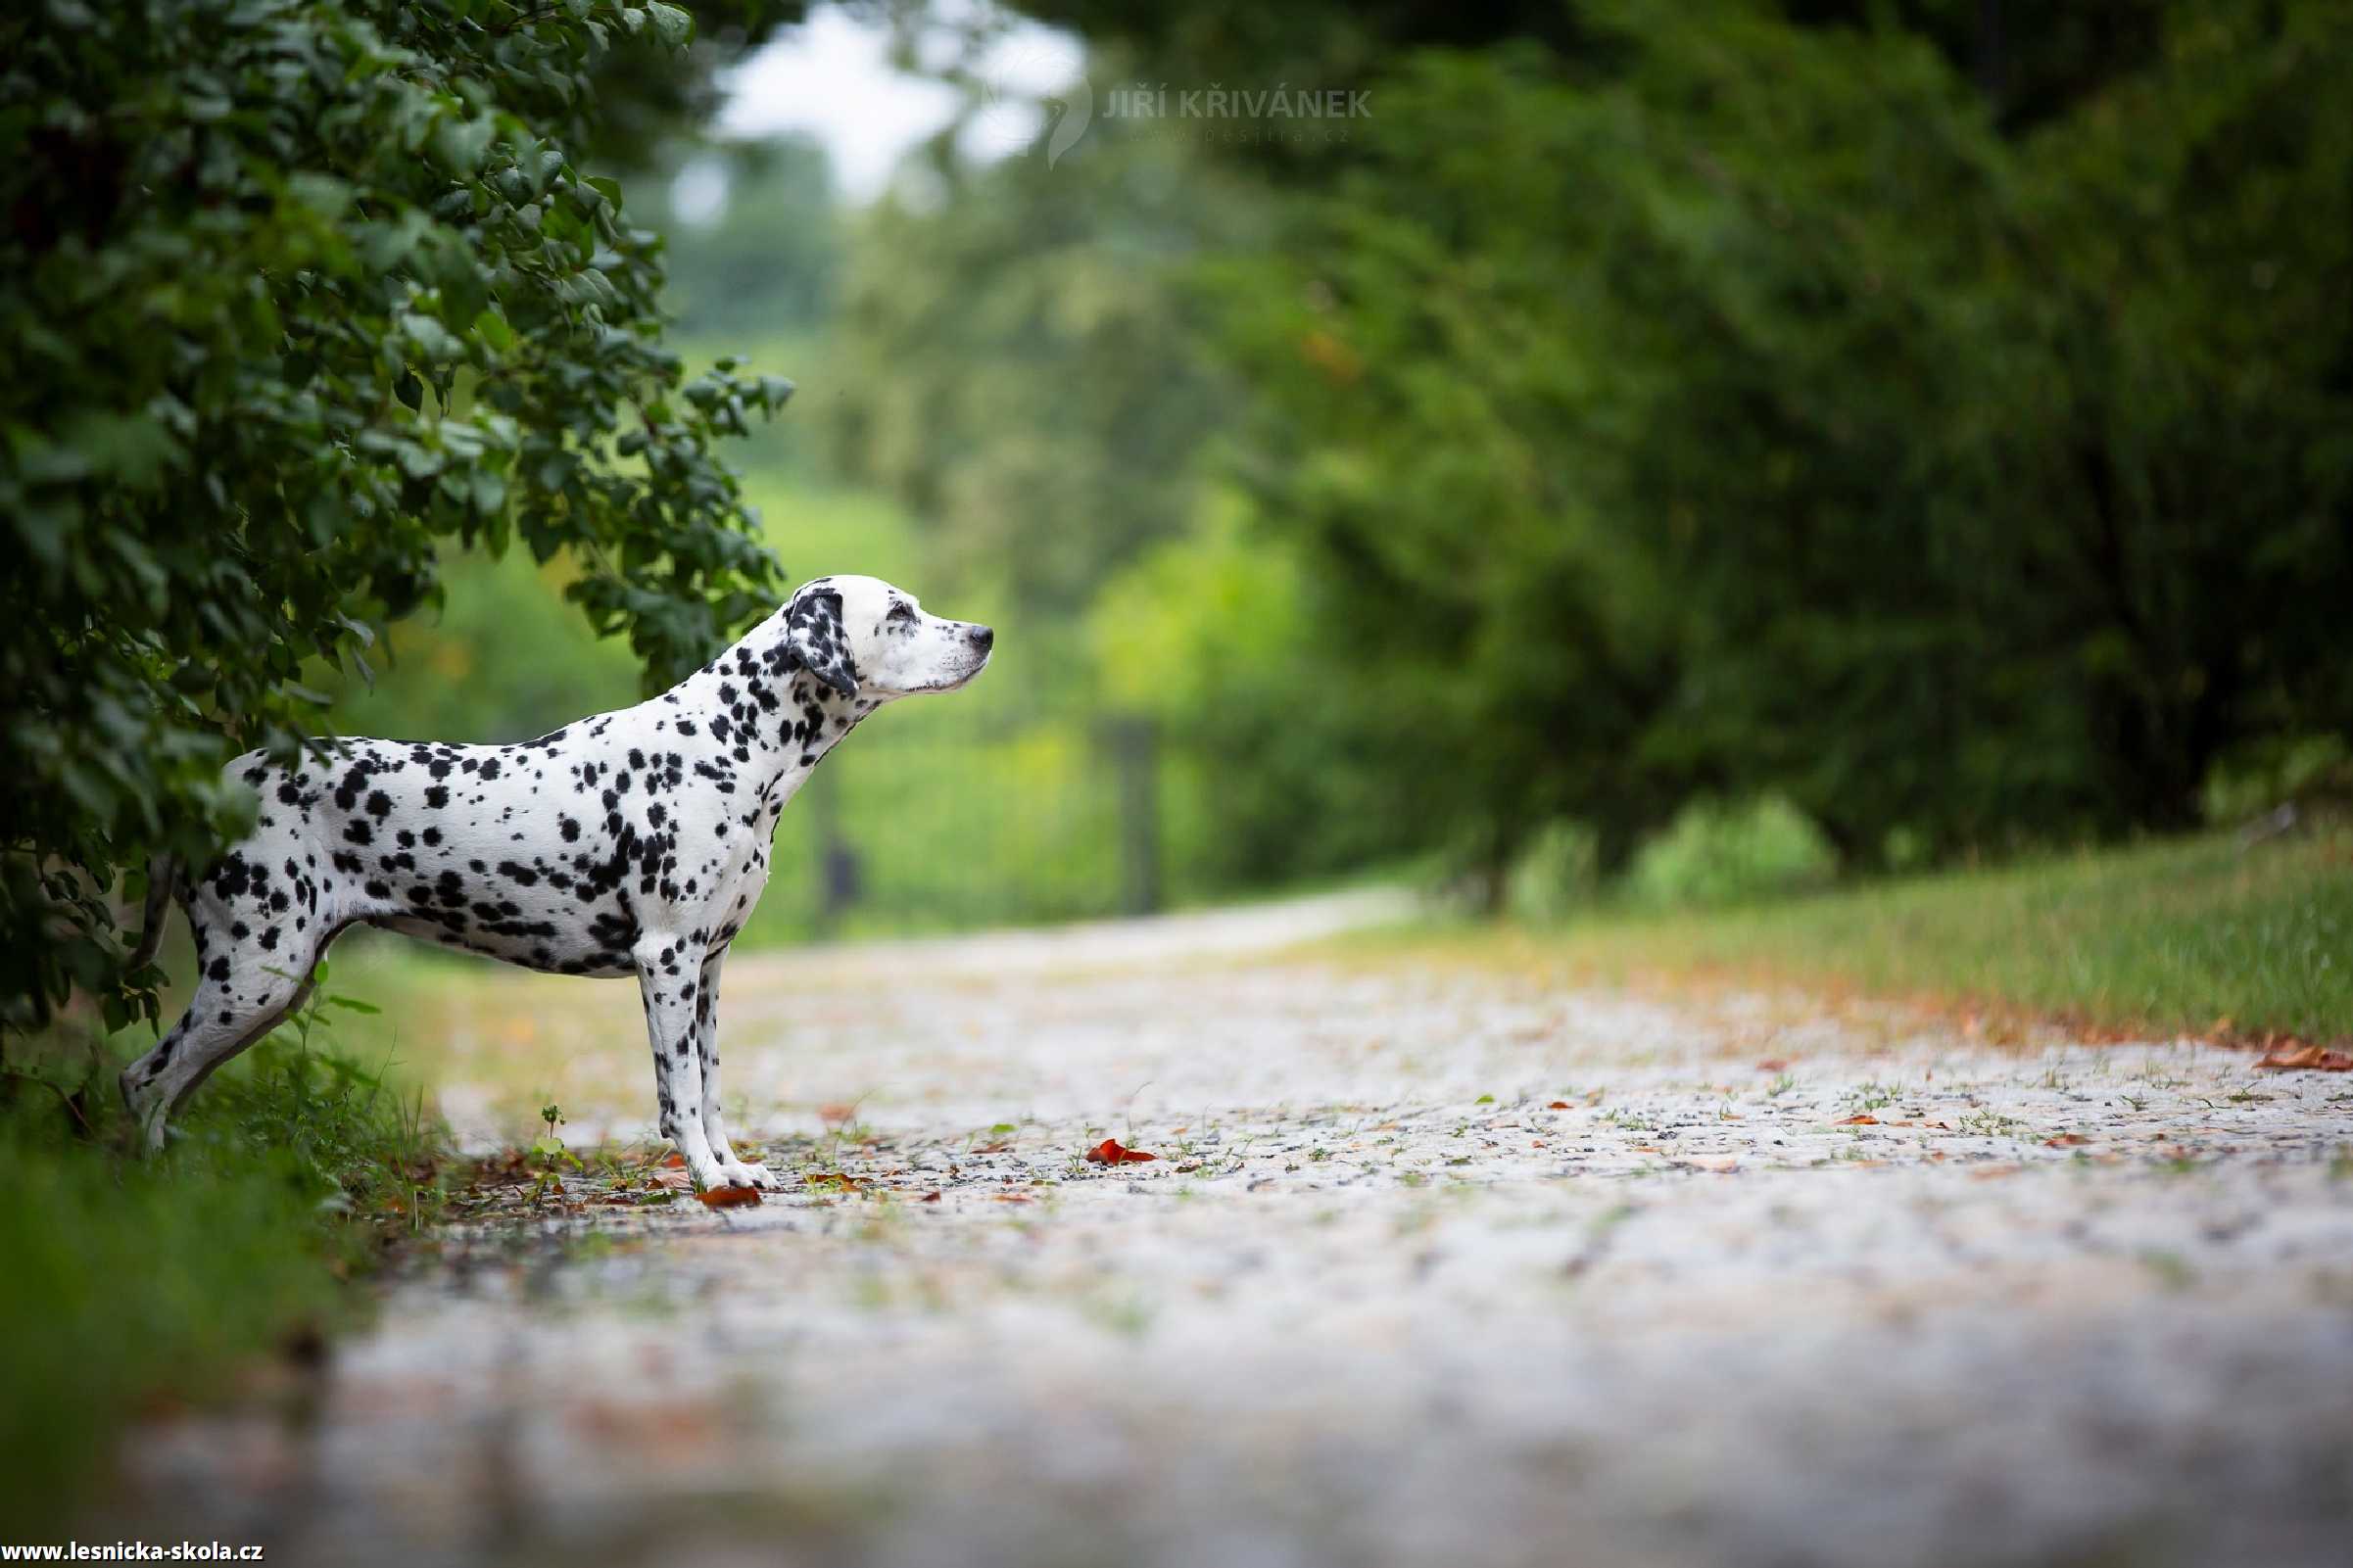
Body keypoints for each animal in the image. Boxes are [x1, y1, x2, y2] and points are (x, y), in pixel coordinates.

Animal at [119, 576, 992, 1189]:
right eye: (900, 613)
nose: (984, 634)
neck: (722, 744)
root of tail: (204, 785)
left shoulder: (709, 967)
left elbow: (709, 1084)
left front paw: (734, 1167)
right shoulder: (665, 959)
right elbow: (680, 1092)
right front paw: (709, 1180)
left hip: (271, 989)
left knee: (166, 1086)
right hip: (254, 978)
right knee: (143, 1081)